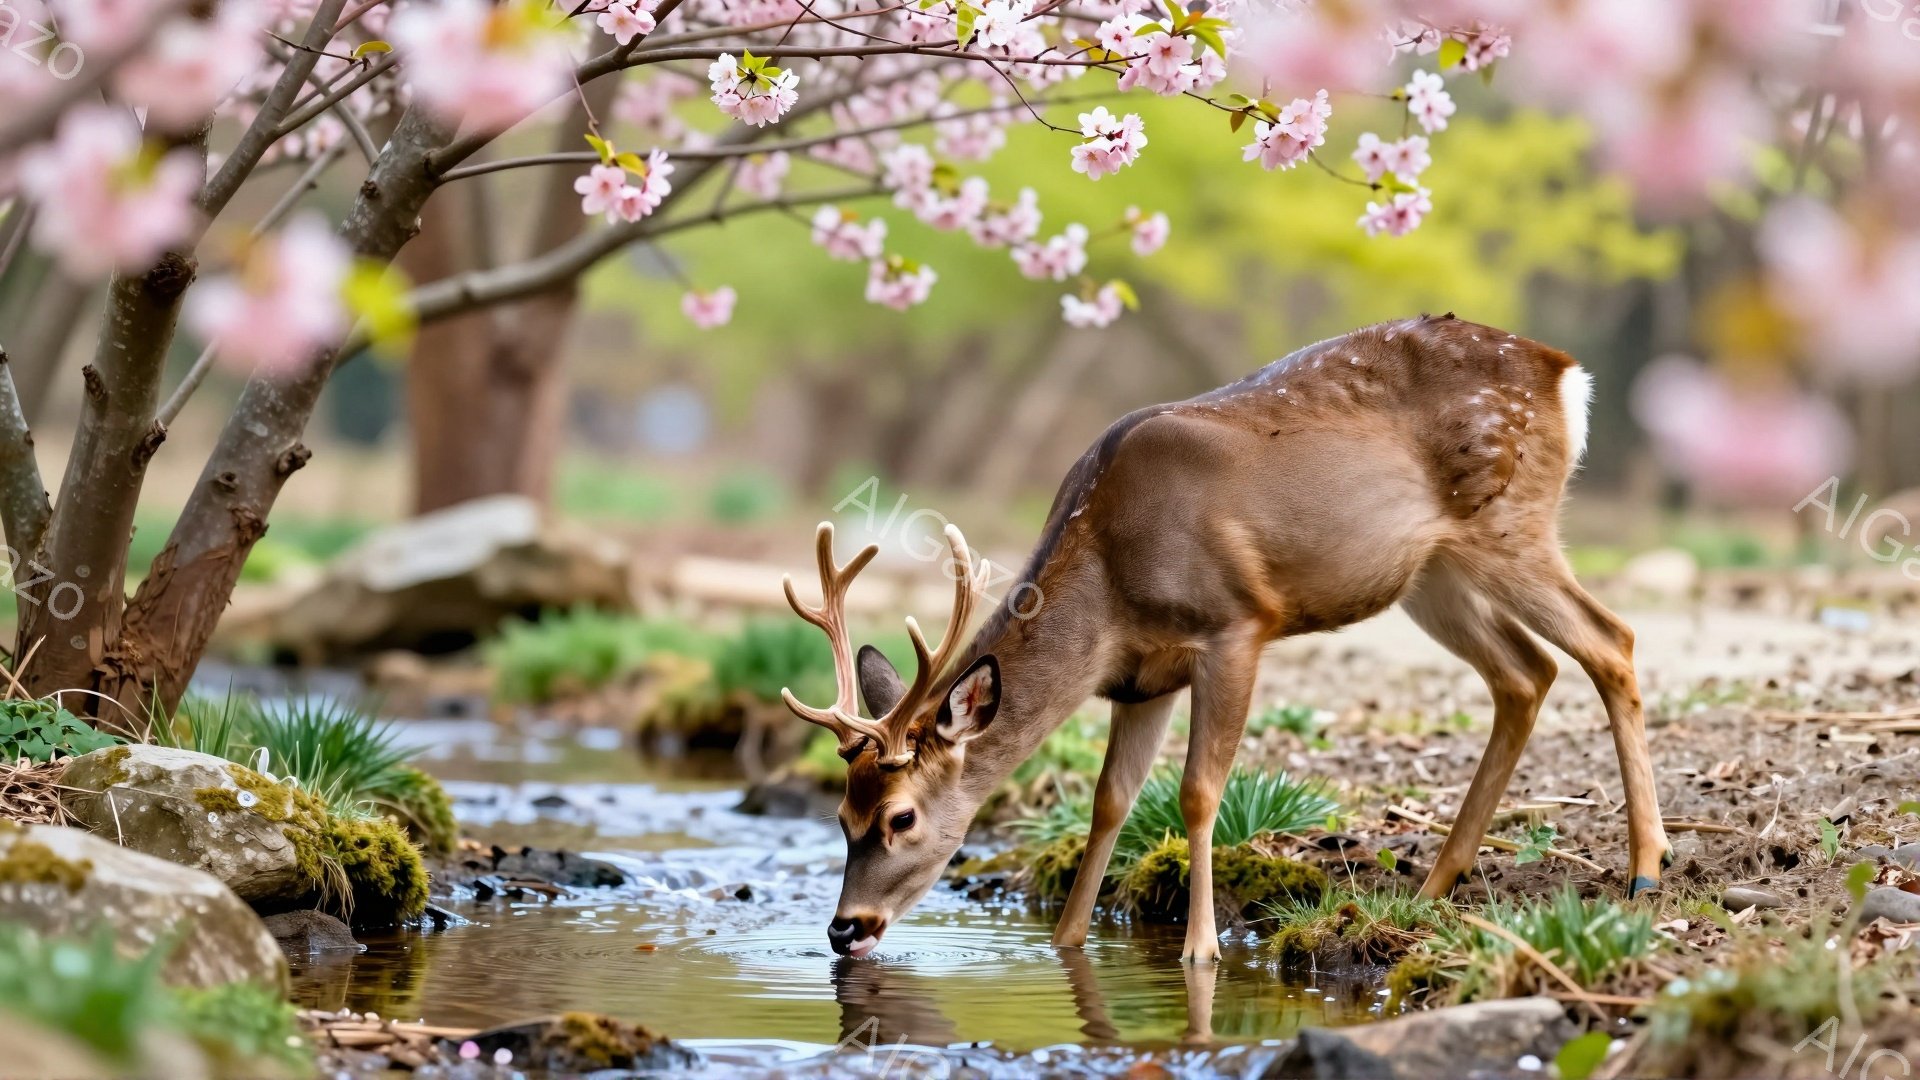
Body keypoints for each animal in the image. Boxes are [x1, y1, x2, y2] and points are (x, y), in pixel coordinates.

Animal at [781, 314, 1669, 963]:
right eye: (840, 814)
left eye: (900, 818)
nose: (845, 928)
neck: (1110, 579)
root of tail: (1565, 372)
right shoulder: (1141, 678)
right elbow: (1111, 800)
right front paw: (1068, 943)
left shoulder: (1236, 625)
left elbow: (1198, 792)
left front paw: (1200, 951)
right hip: (1432, 574)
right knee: (1526, 672)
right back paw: (1434, 886)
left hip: (1509, 522)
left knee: (1612, 639)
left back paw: (1644, 872)